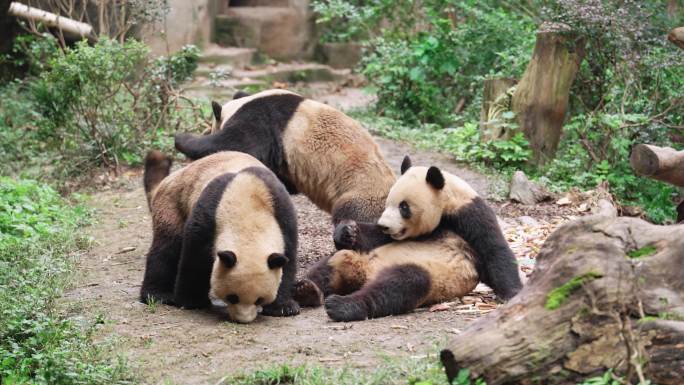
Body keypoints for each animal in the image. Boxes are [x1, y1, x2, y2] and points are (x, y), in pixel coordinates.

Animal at [140, 148, 300, 322]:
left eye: (259, 299)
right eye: (232, 297)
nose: (243, 320)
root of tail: (168, 180)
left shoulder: (282, 213)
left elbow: (287, 261)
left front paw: (283, 307)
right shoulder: (209, 213)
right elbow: (194, 257)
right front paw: (191, 301)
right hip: (173, 204)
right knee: (166, 249)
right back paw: (158, 295)